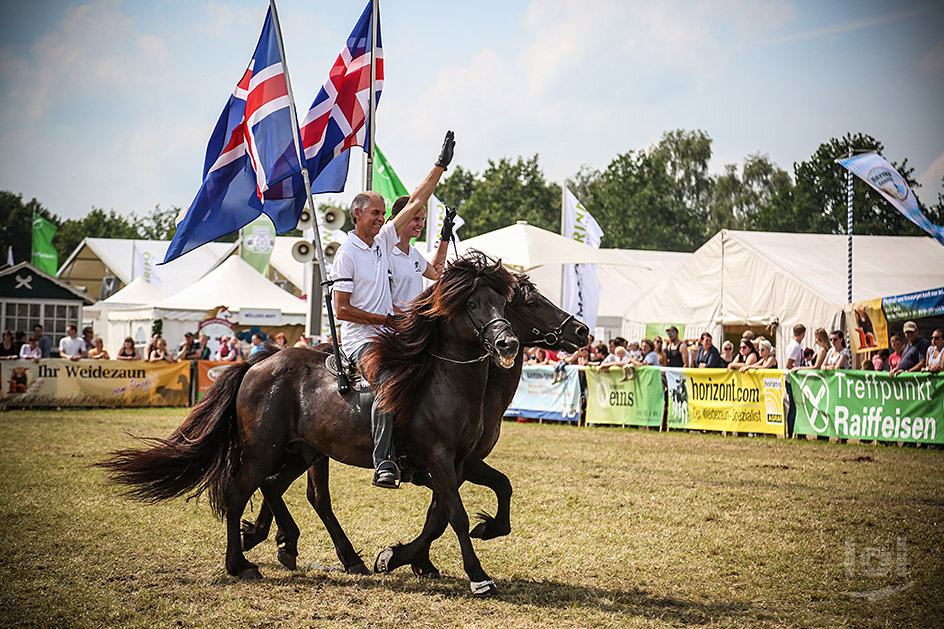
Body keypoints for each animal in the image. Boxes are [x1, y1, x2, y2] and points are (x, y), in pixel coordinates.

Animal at [101, 251, 524, 592]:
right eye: (473, 303)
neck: (442, 382)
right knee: (240, 494)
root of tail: (258, 362)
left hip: (299, 452)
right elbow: (455, 514)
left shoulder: (461, 461)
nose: (508, 343)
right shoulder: (439, 459)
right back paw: (241, 564)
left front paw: (477, 533)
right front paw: (477, 576)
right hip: (263, 451)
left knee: (274, 487)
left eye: (502, 302)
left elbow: (486, 494)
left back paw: (291, 547)